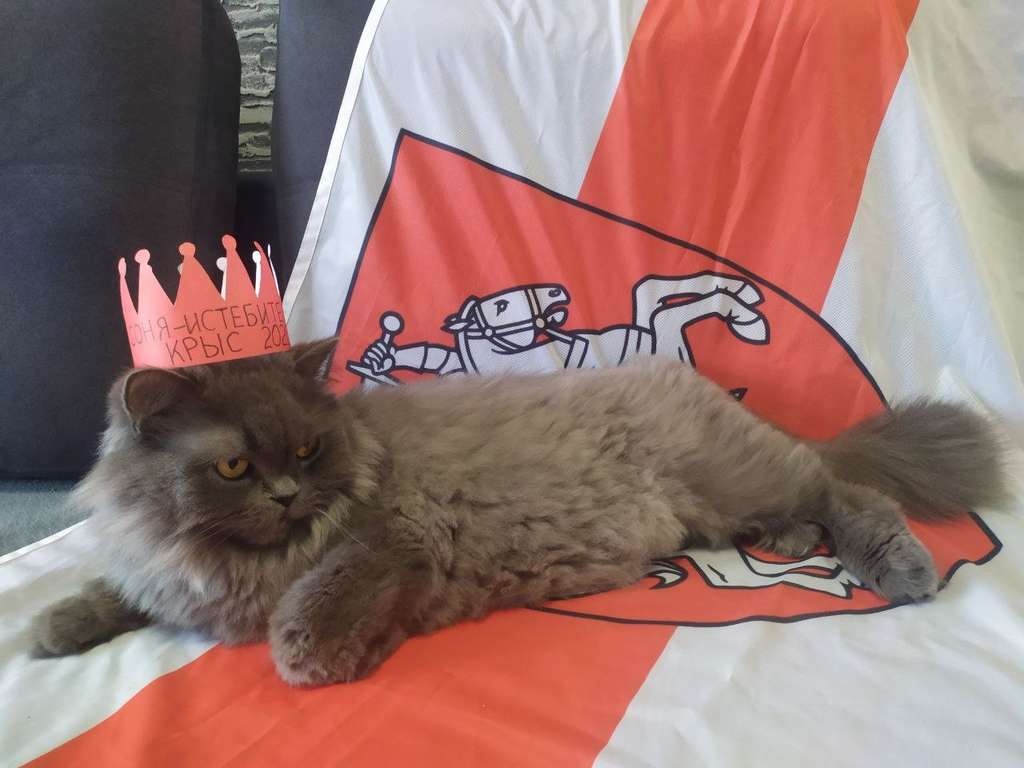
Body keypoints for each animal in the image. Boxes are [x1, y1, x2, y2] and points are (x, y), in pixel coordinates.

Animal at [30, 339, 1009, 686]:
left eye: (306, 453)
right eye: (235, 464)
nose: (285, 495)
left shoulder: (393, 543)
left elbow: (308, 616)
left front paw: (331, 656)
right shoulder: (170, 572)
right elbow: (123, 589)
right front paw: (56, 624)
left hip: (747, 474)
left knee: (853, 495)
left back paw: (899, 565)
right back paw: (789, 541)